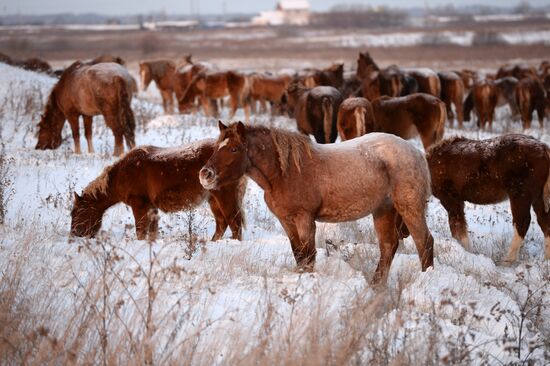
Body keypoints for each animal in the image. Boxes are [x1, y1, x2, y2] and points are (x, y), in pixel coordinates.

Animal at [70, 140, 246, 243]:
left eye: (76, 213)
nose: (73, 235)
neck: (122, 174)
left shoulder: (139, 205)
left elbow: (140, 231)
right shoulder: (151, 207)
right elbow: (152, 232)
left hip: (223, 197)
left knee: (234, 222)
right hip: (213, 200)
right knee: (222, 224)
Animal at [199, 121, 436, 284]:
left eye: (234, 149)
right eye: (216, 147)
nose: (205, 174)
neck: (284, 173)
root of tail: (416, 152)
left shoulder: (304, 218)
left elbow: (309, 254)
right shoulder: (286, 221)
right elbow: (299, 254)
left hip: (410, 208)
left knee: (424, 242)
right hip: (383, 210)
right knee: (388, 246)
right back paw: (376, 285)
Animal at [430, 134, 550, 264]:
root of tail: (545, 150)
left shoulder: (450, 199)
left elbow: (458, 228)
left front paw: (466, 253)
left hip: (520, 194)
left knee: (522, 222)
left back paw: (507, 260)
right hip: (538, 197)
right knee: (544, 221)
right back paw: (546, 259)